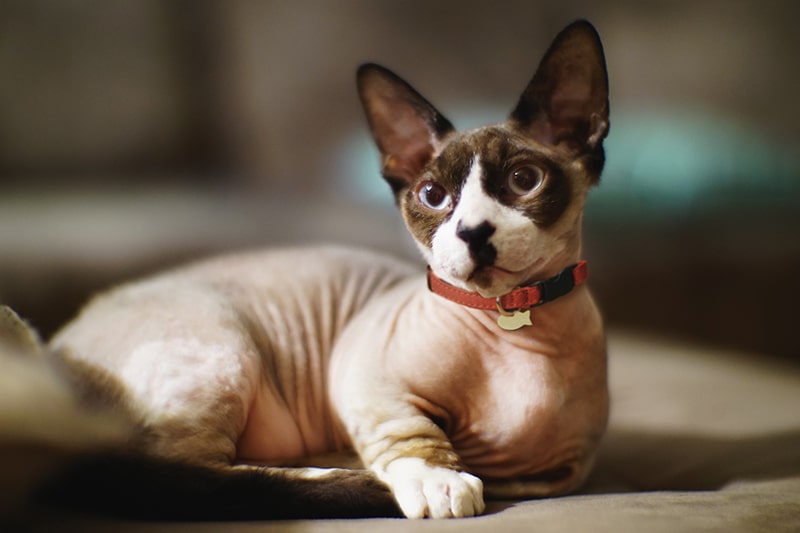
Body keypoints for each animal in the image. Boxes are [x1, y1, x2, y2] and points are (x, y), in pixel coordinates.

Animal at [15, 18, 608, 516]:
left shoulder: (567, 469)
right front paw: (438, 480)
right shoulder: (366, 381)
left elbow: (524, 476)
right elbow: (412, 434)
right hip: (223, 351)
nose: (473, 233)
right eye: (433, 196)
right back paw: (348, 479)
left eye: (524, 181)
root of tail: (54, 344)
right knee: (178, 475)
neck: (513, 326)